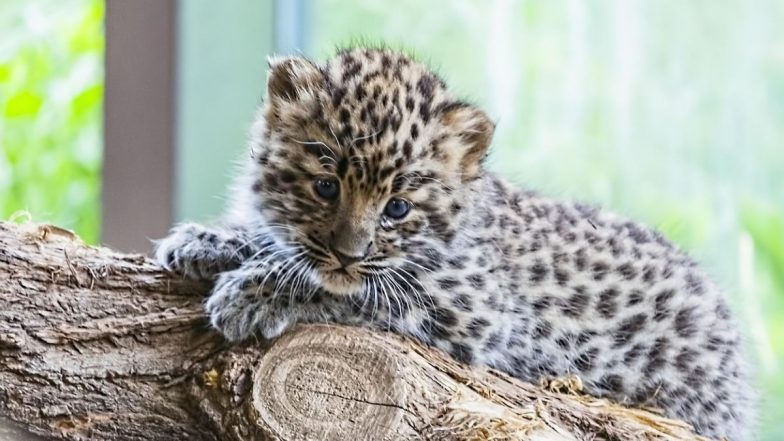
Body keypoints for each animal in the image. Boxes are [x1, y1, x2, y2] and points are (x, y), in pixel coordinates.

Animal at [155, 48, 754, 440]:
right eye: (325, 187)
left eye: (398, 208)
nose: (349, 254)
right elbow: (281, 243)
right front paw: (206, 240)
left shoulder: (470, 305)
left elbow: (351, 290)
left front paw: (249, 295)